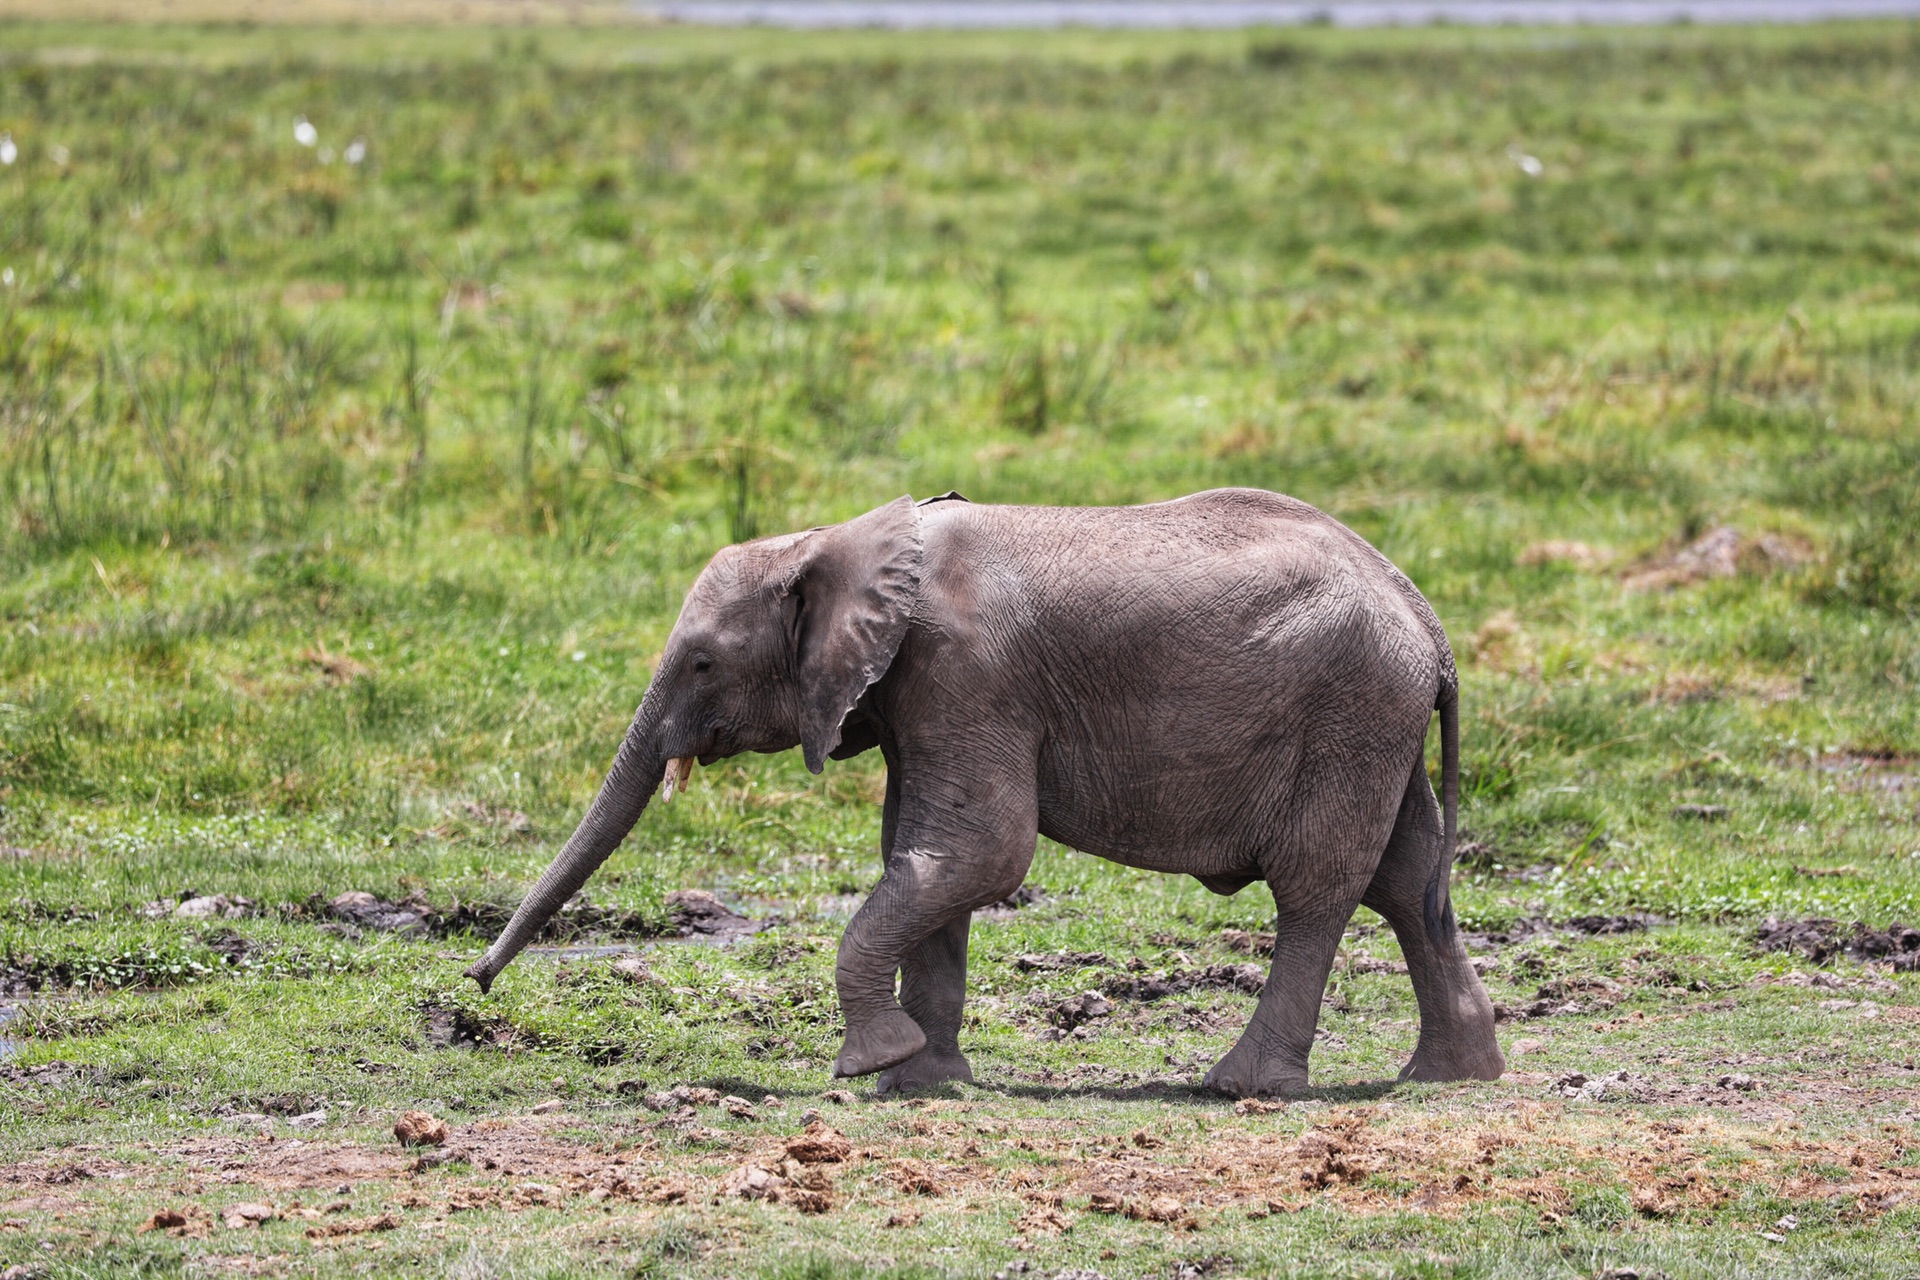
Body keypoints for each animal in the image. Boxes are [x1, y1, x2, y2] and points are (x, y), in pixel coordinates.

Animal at [460, 491, 1497, 1105]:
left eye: (705, 661)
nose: (472, 981)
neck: (839, 539)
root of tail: (1428, 619)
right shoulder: (916, 696)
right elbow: (924, 864)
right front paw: (920, 1080)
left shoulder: (967, 674)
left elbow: (979, 853)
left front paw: (872, 1065)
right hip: (1375, 723)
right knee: (1409, 883)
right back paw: (1451, 1075)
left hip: (1350, 711)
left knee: (1318, 888)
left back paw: (1240, 1087)